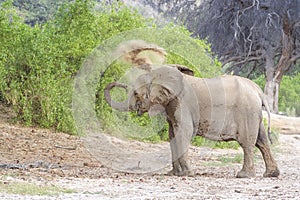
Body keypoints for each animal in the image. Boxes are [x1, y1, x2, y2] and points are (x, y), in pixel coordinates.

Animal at [104, 65, 280, 178]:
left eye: (135, 93)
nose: (119, 83)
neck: (157, 74)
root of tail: (258, 91)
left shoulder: (182, 102)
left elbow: (184, 132)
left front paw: (187, 174)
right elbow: (172, 135)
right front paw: (174, 174)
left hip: (246, 111)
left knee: (247, 143)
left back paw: (244, 175)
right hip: (254, 114)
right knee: (262, 141)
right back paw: (271, 174)